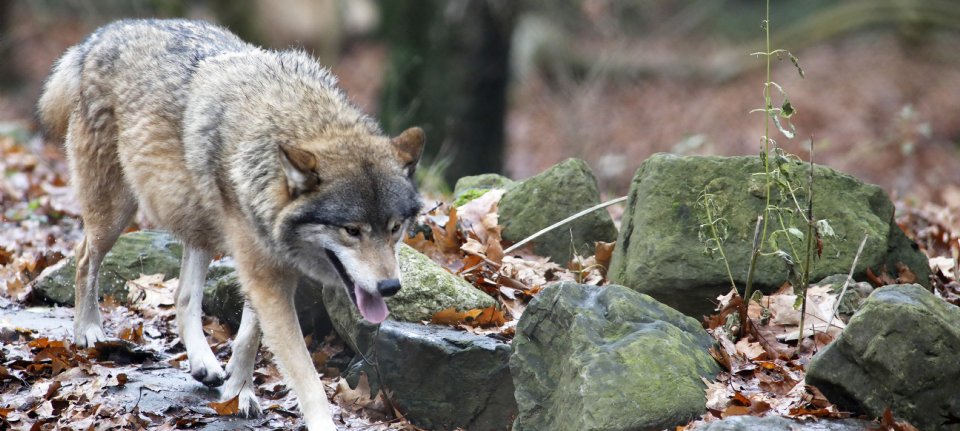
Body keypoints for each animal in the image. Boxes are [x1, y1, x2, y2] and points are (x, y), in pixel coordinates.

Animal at [37, 19, 423, 430]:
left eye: (395, 227)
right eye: (352, 230)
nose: (390, 287)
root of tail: (100, 36)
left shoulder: (267, 266)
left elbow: (249, 337)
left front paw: (239, 392)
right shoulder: (264, 273)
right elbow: (306, 376)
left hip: (197, 226)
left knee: (183, 296)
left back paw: (204, 363)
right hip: (115, 214)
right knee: (83, 258)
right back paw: (89, 330)